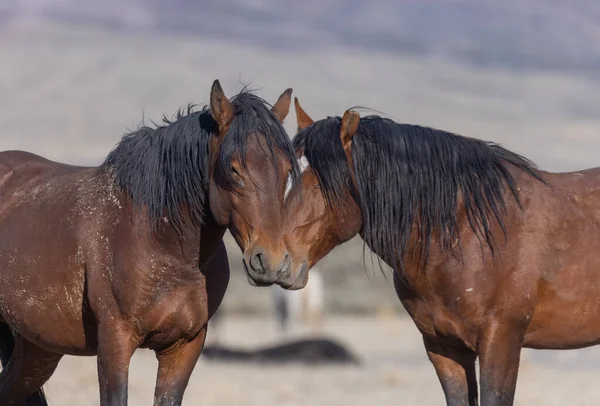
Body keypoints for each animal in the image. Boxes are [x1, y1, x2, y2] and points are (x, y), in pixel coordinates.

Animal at [0, 80, 300, 406]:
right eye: (234, 169)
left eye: (287, 170)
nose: (271, 262)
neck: (163, 244)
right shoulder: (115, 343)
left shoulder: (185, 346)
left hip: (38, 349)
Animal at [278, 99, 600, 406]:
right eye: (285, 175)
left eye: (321, 182)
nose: (275, 261)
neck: (468, 232)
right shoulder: (444, 347)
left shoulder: (501, 342)